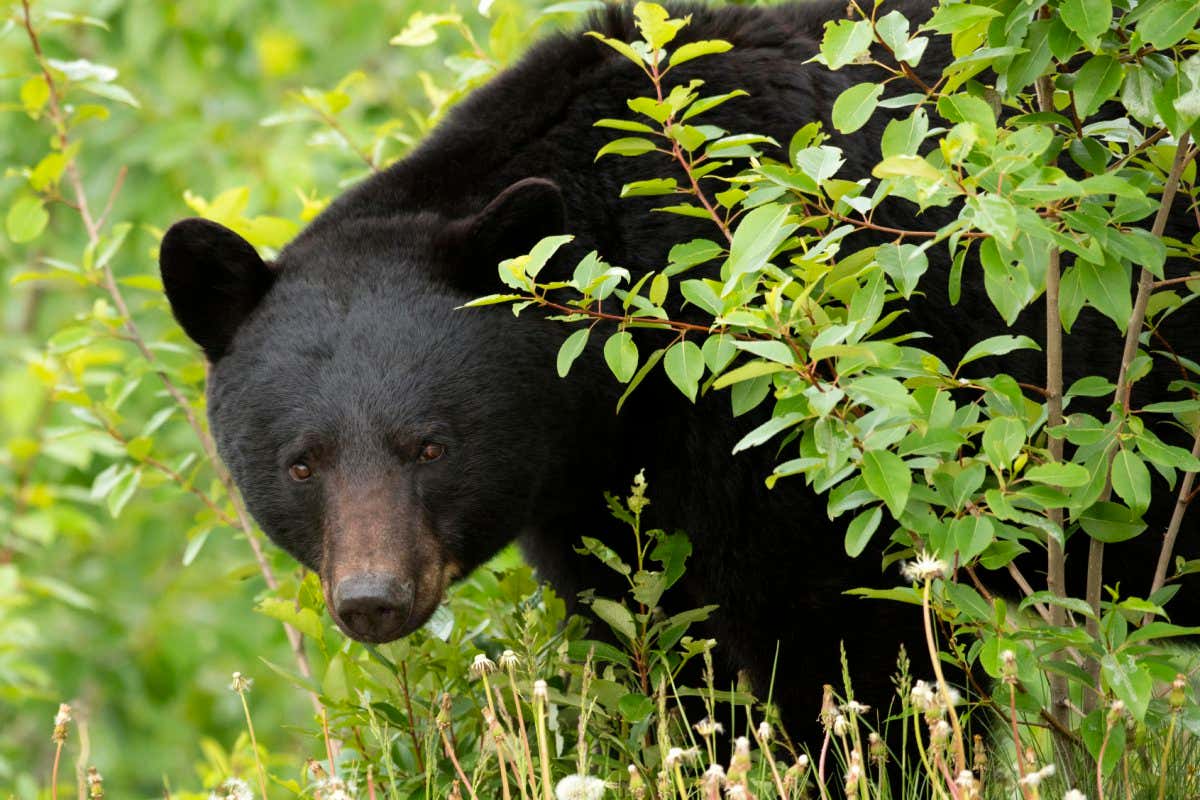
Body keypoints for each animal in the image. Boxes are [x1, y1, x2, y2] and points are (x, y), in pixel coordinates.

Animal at [159, 0, 1197, 737]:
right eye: (302, 464)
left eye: (431, 448)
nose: (373, 599)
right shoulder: (592, 491)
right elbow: (667, 644)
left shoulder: (802, 439)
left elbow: (852, 649)